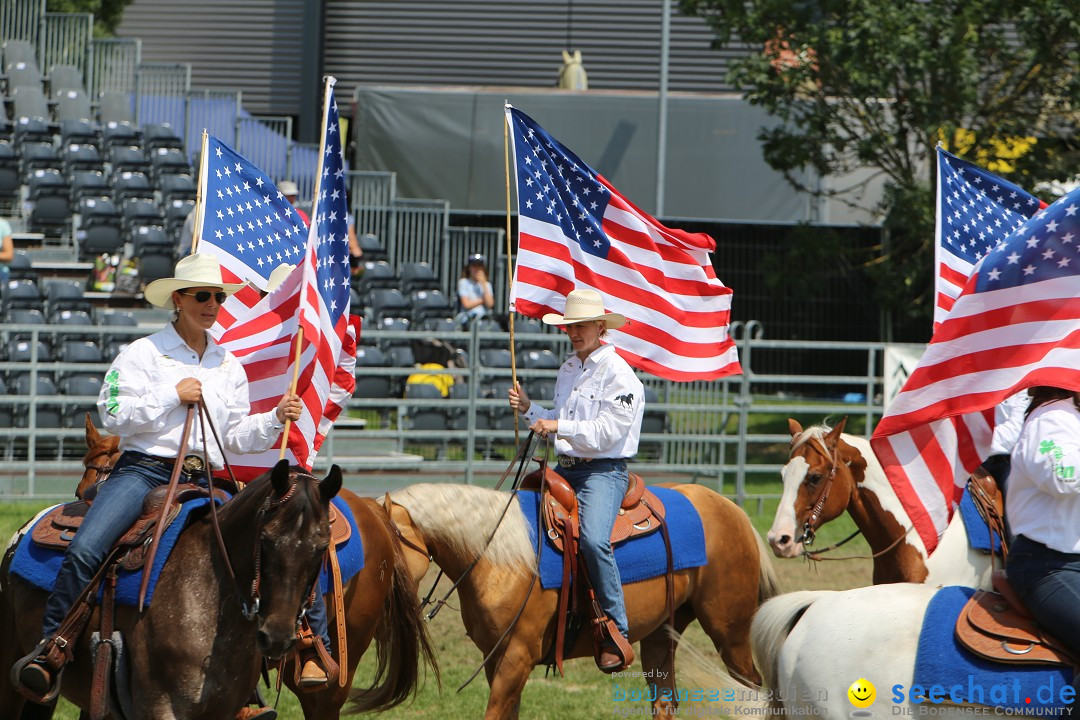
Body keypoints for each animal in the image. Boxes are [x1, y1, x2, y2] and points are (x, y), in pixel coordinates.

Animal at [384, 479, 781, 720]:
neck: (498, 555)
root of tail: (732, 509)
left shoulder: (517, 656)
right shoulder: (495, 658)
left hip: (730, 631)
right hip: (662, 633)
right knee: (665, 700)